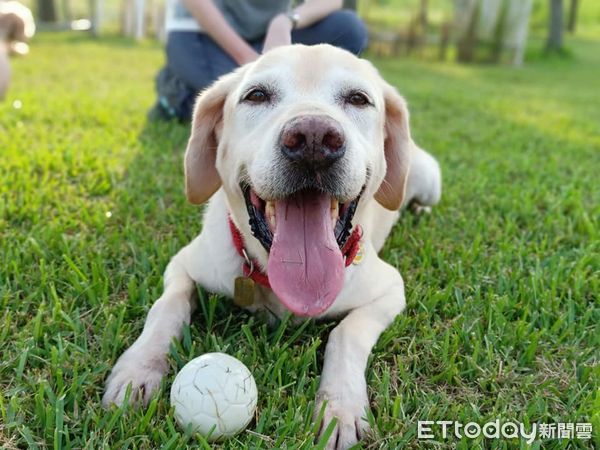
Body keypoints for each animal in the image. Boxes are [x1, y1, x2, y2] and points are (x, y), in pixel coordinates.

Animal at [102, 44, 440, 448]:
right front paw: (139, 369)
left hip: (429, 178)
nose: (313, 139)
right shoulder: (183, 265)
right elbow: (167, 307)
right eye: (257, 95)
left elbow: (346, 334)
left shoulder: (389, 289)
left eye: (359, 99)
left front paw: (340, 407)